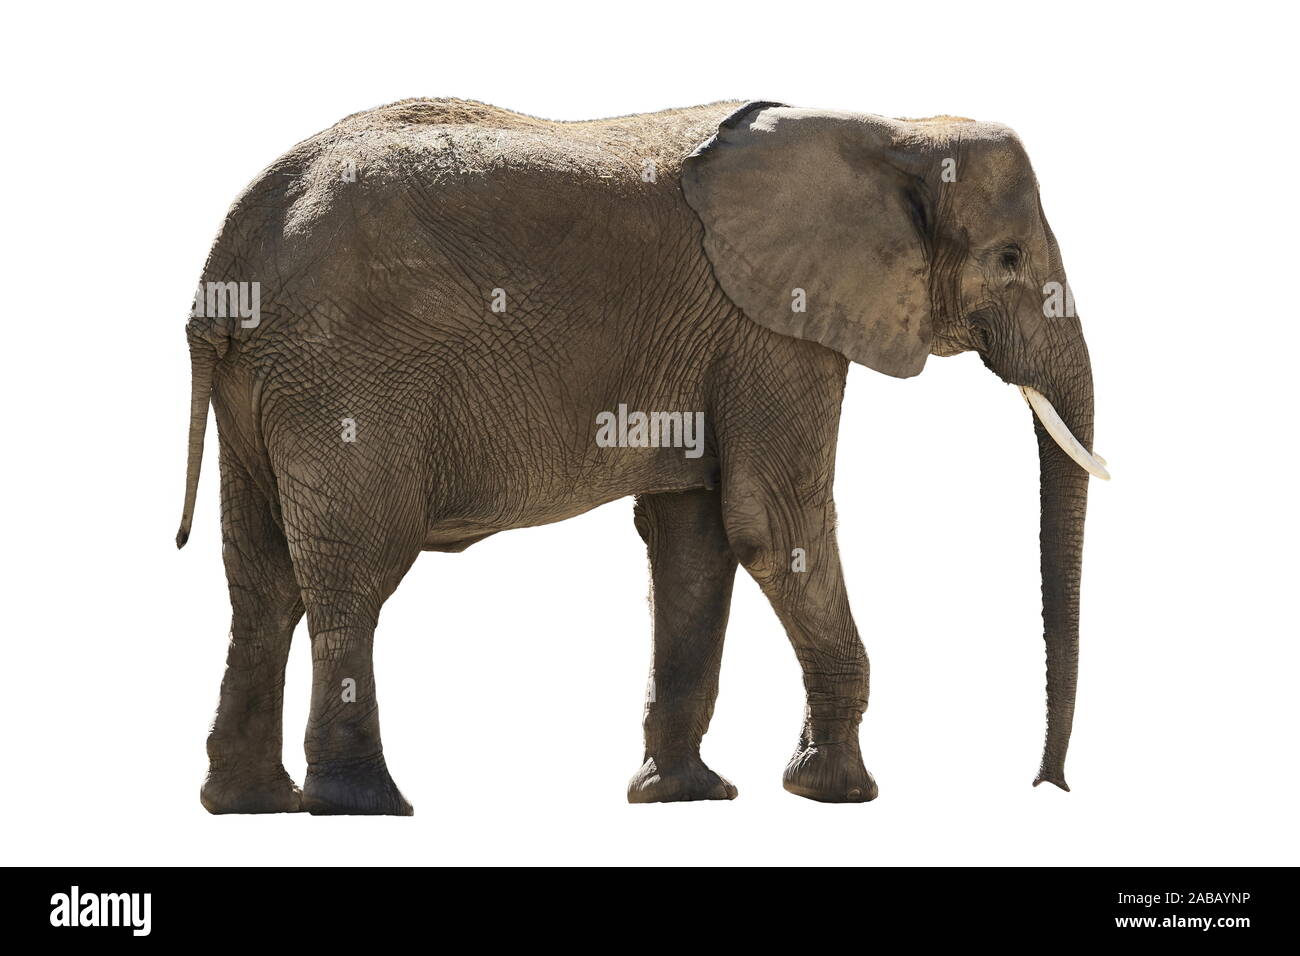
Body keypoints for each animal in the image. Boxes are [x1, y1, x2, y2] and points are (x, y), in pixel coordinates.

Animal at [179, 98, 1107, 815]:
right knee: (351, 575)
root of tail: (231, 247)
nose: (1047, 785)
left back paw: (250, 805)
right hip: (346, 378)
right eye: (1009, 261)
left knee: (261, 581)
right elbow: (774, 524)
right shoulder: (772, 329)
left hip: (265, 383)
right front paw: (838, 793)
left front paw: (684, 796)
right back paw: (363, 806)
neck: (892, 129)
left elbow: (696, 539)